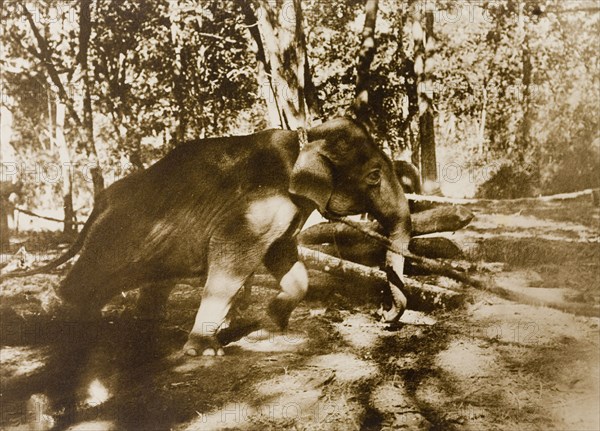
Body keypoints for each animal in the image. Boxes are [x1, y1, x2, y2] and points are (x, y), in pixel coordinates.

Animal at [1, 117, 412, 358]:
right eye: (374, 175)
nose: (383, 317)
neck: (305, 135)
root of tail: (101, 199)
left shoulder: (283, 212)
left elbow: (285, 259)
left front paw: (270, 327)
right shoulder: (257, 206)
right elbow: (230, 255)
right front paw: (205, 352)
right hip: (114, 237)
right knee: (89, 277)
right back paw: (57, 317)